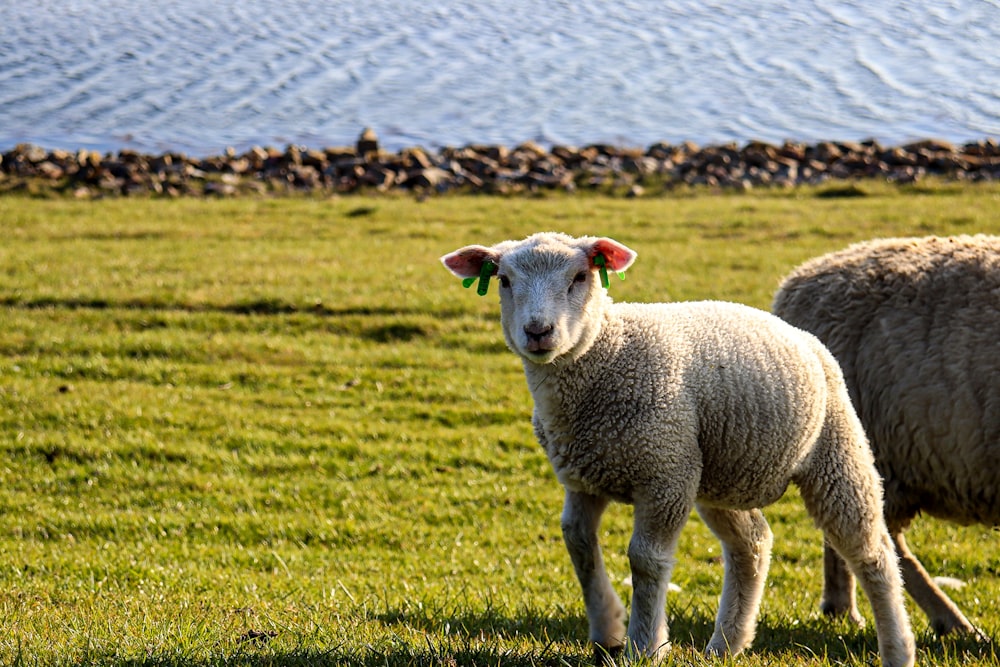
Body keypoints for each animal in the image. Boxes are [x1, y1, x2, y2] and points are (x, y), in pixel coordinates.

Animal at [440, 234, 916, 667]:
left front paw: (644, 646)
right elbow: (579, 547)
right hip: (718, 470)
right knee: (753, 543)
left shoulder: (663, 474)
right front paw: (607, 631)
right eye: (503, 280)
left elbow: (645, 560)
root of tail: (798, 333)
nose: (538, 332)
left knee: (872, 554)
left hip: (836, 450)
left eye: (580, 277)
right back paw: (727, 644)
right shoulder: (584, 478)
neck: (607, 354)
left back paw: (897, 649)